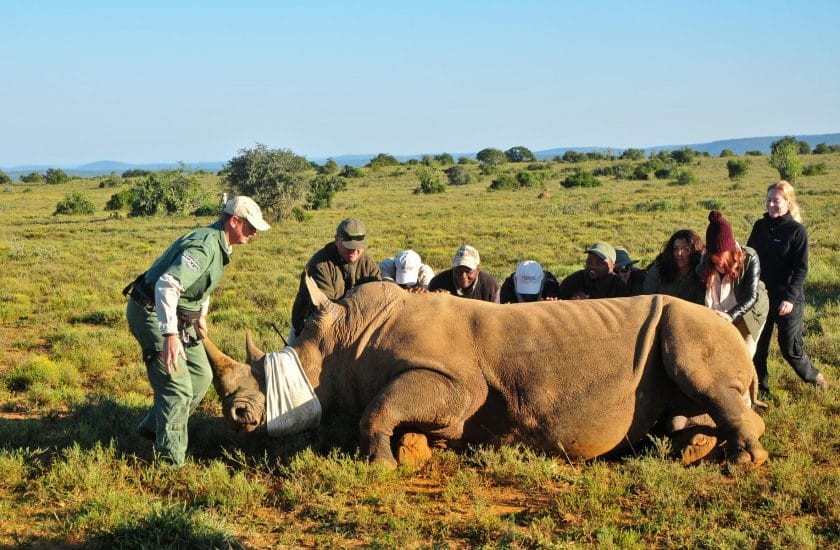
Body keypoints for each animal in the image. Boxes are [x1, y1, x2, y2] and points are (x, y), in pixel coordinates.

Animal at [202, 280, 768, 470]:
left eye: (257, 391)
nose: (236, 418)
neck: (342, 340)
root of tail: (734, 325)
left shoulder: (455, 381)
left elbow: (378, 410)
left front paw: (381, 465)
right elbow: (393, 410)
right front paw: (415, 451)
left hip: (694, 327)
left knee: (705, 380)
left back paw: (743, 462)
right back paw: (689, 450)